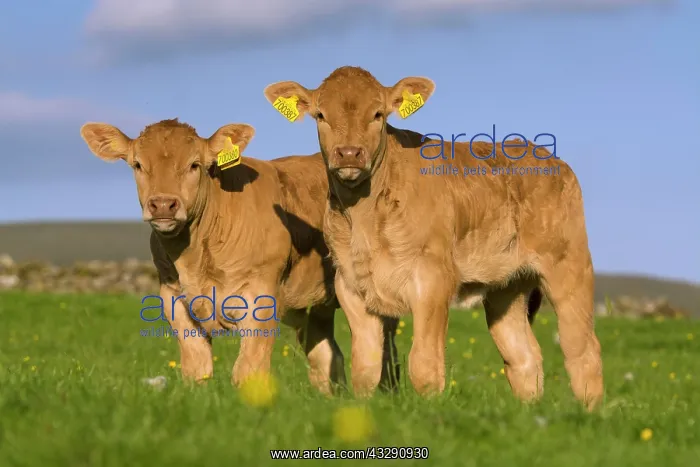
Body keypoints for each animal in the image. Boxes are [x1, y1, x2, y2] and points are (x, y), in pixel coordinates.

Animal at [80, 118, 346, 395]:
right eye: (138, 164)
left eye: (194, 165)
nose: (163, 204)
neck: (195, 259)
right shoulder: (174, 300)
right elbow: (196, 368)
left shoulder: (261, 299)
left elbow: (248, 371)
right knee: (326, 355)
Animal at [263, 66, 604, 410]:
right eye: (321, 115)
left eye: (378, 114)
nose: (349, 153)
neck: (365, 219)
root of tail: (547, 157)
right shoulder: (350, 285)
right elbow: (365, 368)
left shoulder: (433, 279)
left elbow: (424, 364)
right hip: (506, 288)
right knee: (523, 356)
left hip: (569, 267)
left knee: (582, 349)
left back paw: (589, 413)